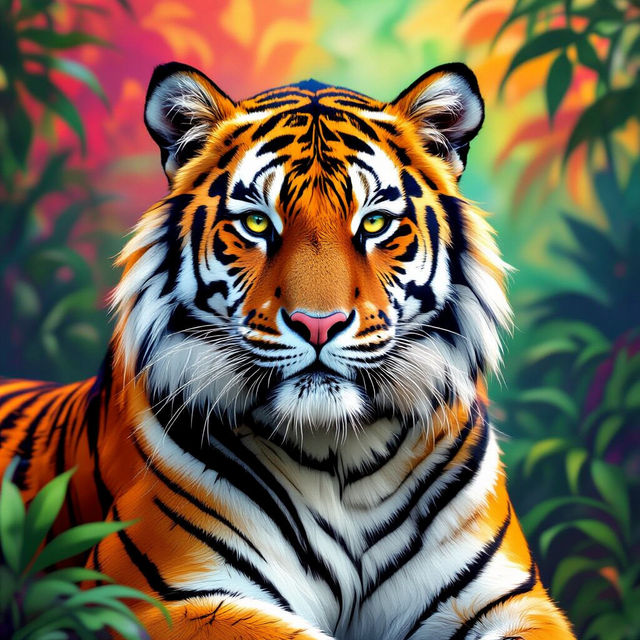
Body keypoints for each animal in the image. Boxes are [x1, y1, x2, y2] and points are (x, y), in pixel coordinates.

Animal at [0, 61, 575, 640]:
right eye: (257, 223)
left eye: (374, 223)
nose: (317, 325)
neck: (342, 456)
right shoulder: (156, 596)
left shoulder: (507, 597)